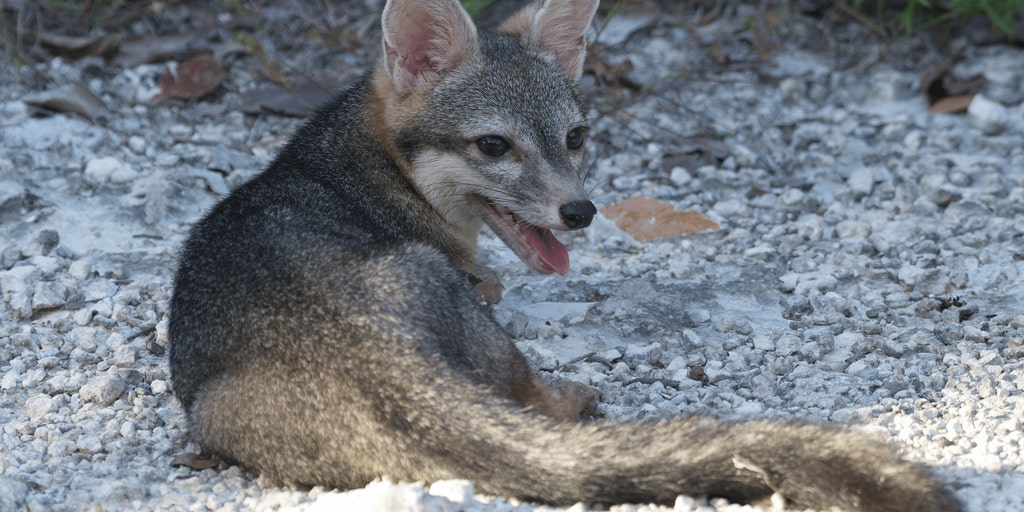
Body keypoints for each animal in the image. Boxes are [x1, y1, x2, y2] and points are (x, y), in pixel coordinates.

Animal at [168, 0, 963, 510]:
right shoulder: (473, 281)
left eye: (575, 138)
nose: (579, 211)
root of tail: (375, 357)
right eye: (494, 146)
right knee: (535, 398)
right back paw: (574, 398)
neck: (361, 166)